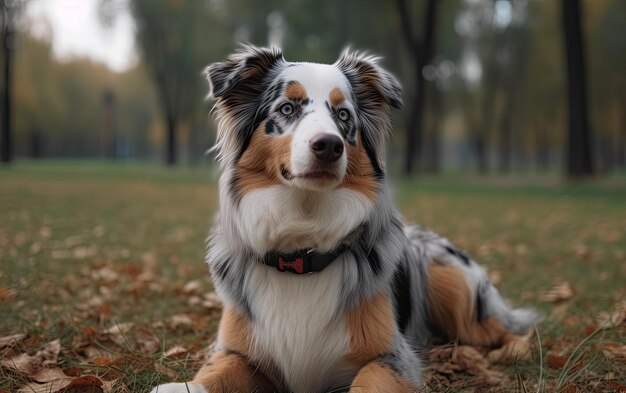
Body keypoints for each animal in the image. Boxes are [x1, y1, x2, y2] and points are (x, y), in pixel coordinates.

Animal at [149, 46, 532, 392]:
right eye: (287, 108)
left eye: (343, 115)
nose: (329, 145)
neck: (301, 252)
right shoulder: (237, 351)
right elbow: (214, 374)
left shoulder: (392, 358)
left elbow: (369, 381)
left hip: (452, 281)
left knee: (507, 327)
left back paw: (508, 351)